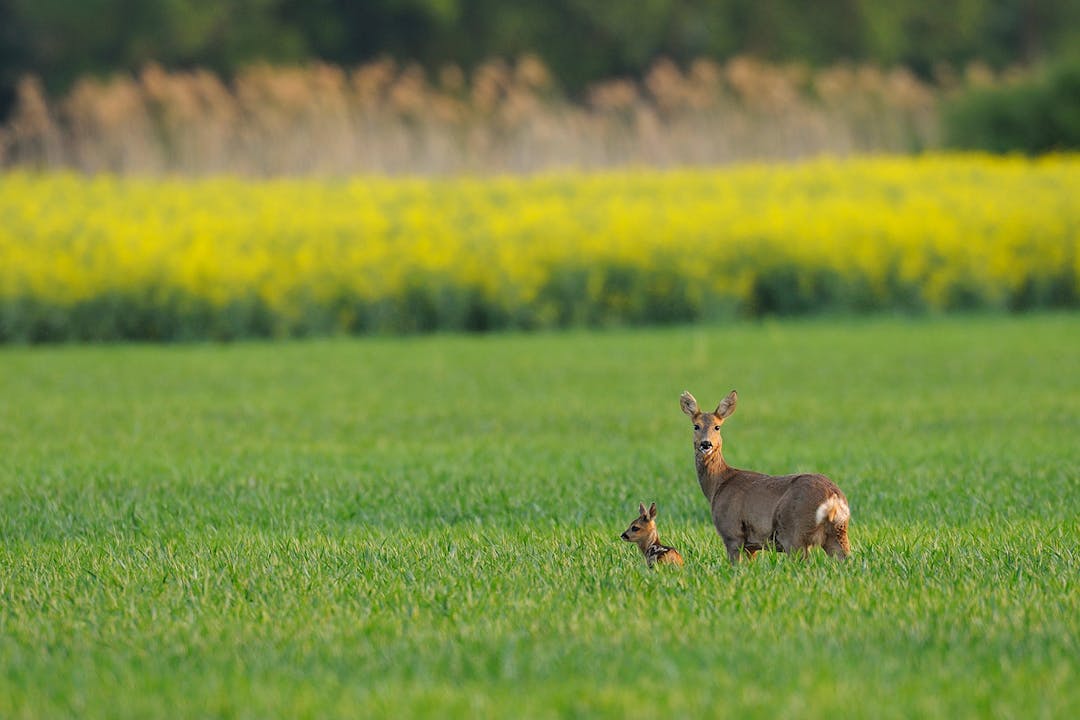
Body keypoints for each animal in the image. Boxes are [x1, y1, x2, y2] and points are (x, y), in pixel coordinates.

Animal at [678, 390, 846, 565]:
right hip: (836, 533)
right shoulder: (751, 545)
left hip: (794, 532)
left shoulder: (732, 533)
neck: (719, 484)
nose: (706, 444)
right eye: (696, 426)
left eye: (717, 427)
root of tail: (833, 497)